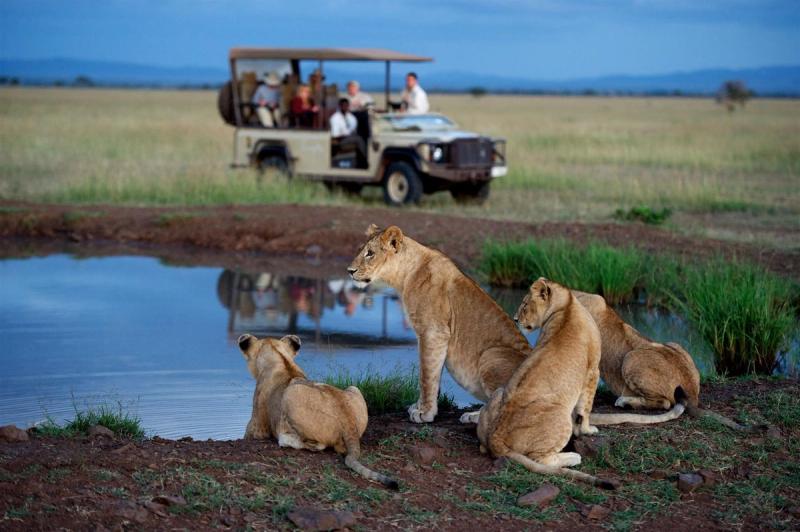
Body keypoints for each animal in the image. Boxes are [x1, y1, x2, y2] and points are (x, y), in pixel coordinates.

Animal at [238, 333, 398, 489]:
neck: (281, 359)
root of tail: (348, 422)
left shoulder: (257, 428)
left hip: (291, 394)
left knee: (317, 445)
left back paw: (285, 438)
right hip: (354, 388)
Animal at [347, 224, 533, 424]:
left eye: (370, 253)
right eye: (361, 250)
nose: (349, 270)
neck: (405, 276)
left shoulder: (433, 332)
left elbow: (426, 375)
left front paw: (425, 413)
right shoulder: (430, 336)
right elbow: (431, 373)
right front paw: (419, 406)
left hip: (491, 355)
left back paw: (475, 416)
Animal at [476, 278, 617, 489]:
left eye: (525, 305)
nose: (515, 319)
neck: (565, 305)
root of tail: (496, 438)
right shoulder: (593, 370)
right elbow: (585, 409)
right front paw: (587, 430)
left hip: (499, 393)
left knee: (483, 447)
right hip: (560, 416)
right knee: (540, 459)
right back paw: (573, 457)